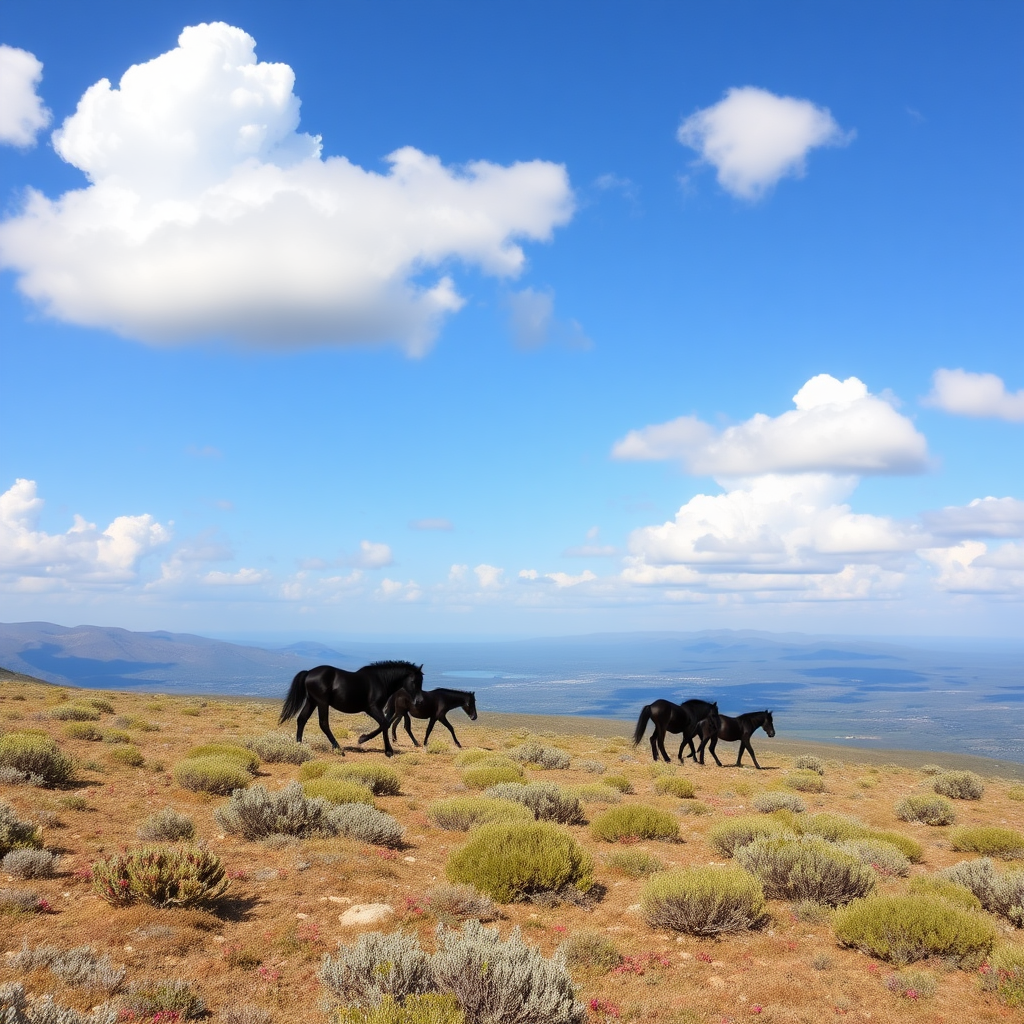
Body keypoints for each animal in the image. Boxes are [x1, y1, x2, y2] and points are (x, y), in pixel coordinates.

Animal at [278, 659, 421, 757]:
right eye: (414, 681)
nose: (419, 700)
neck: (380, 680)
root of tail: (308, 673)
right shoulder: (372, 708)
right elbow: (385, 724)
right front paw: (387, 751)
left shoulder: (376, 709)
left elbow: (384, 724)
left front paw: (362, 739)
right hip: (322, 703)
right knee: (323, 723)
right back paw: (338, 749)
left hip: (311, 701)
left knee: (302, 719)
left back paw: (299, 745)